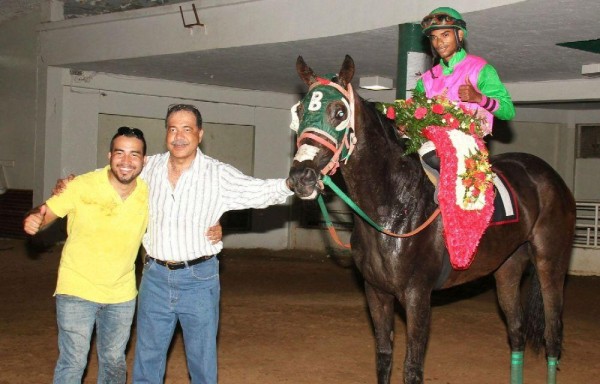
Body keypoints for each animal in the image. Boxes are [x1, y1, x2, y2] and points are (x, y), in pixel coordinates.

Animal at [288, 54, 576, 384]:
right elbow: (383, 357)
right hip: (507, 267)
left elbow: (412, 368)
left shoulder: (417, 296)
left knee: (553, 335)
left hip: (550, 263)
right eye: (299, 111)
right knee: (516, 332)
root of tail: (549, 176)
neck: (394, 209)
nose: (301, 177)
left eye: (339, 112)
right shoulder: (376, 292)